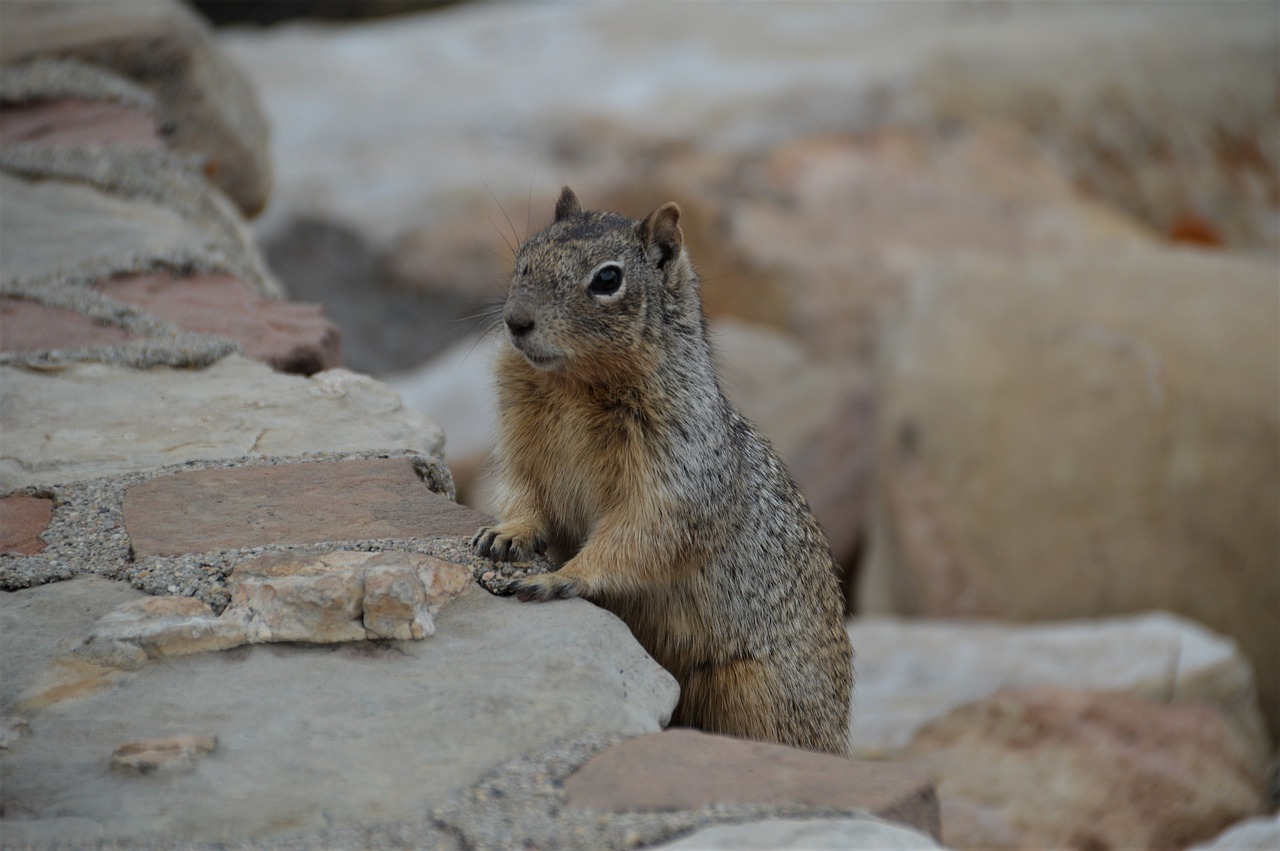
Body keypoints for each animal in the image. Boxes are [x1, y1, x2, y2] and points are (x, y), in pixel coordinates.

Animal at [476, 184, 855, 752]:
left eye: (607, 279)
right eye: (524, 255)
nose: (516, 321)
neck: (572, 386)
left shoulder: (677, 471)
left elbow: (641, 533)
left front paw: (561, 577)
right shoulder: (520, 444)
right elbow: (522, 492)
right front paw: (505, 535)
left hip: (752, 691)